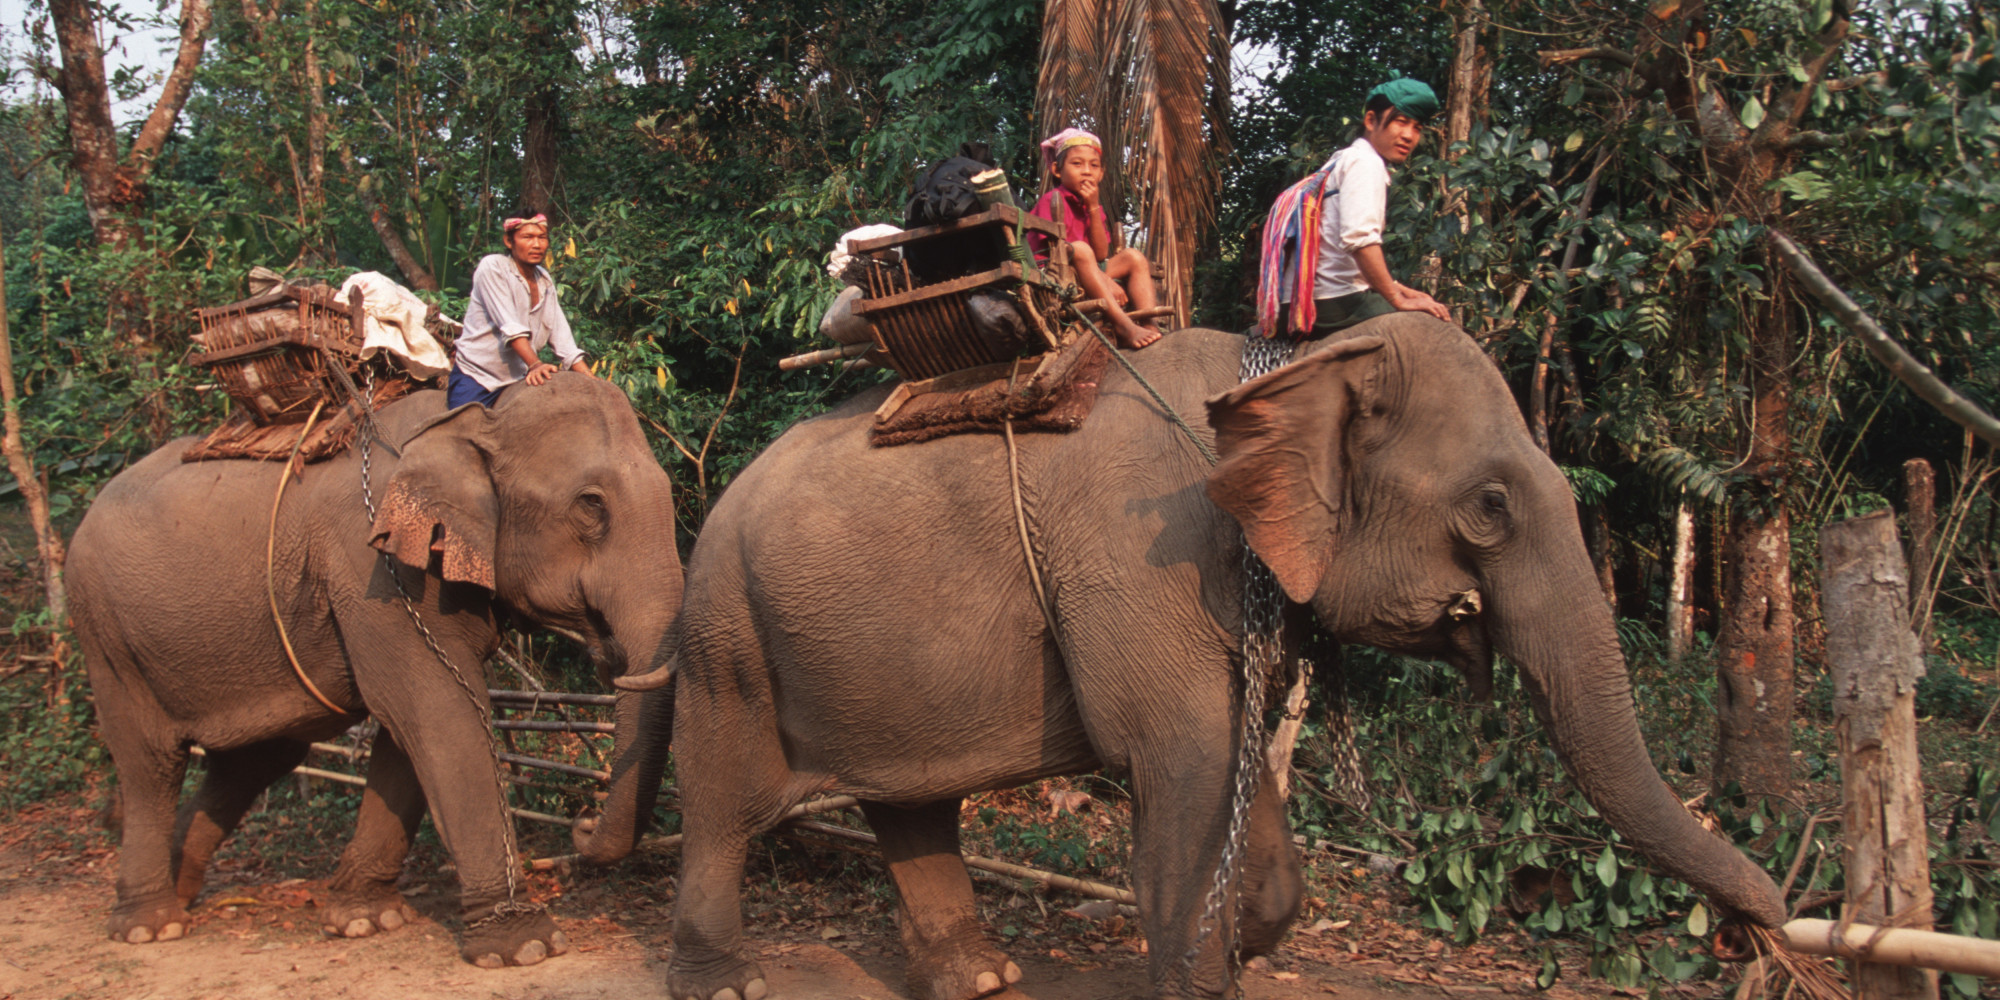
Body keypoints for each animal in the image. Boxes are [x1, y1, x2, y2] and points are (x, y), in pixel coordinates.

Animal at [67, 373, 680, 968]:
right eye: (591, 506)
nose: (583, 825)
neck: (477, 416)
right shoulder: (374, 565)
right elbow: (437, 709)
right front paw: (523, 945)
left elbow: (409, 731)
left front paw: (366, 918)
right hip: (107, 634)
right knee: (152, 760)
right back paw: (150, 925)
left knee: (255, 760)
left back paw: (182, 890)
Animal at [579, 317, 1786, 1000]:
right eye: (1489, 506)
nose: (1757, 929)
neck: (1293, 365)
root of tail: (705, 519)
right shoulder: (1142, 558)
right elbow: (1182, 755)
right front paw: (1203, 971)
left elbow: (1239, 761)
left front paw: (1245, 938)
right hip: (734, 637)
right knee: (727, 800)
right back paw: (727, 987)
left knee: (908, 800)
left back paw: (980, 978)